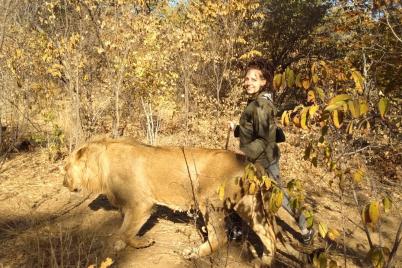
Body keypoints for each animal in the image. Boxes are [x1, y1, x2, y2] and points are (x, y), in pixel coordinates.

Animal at [63, 137, 276, 264]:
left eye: (66, 168)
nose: (64, 183)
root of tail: (250, 163)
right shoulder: (131, 206)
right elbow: (123, 229)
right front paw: (121, 244)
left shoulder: (142, 204)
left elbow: (124, 231)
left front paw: (142, 242)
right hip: (249, 206)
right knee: (270, 236)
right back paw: (263, 262)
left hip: (209, 201)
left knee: (220, 237)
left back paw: (192, 254)